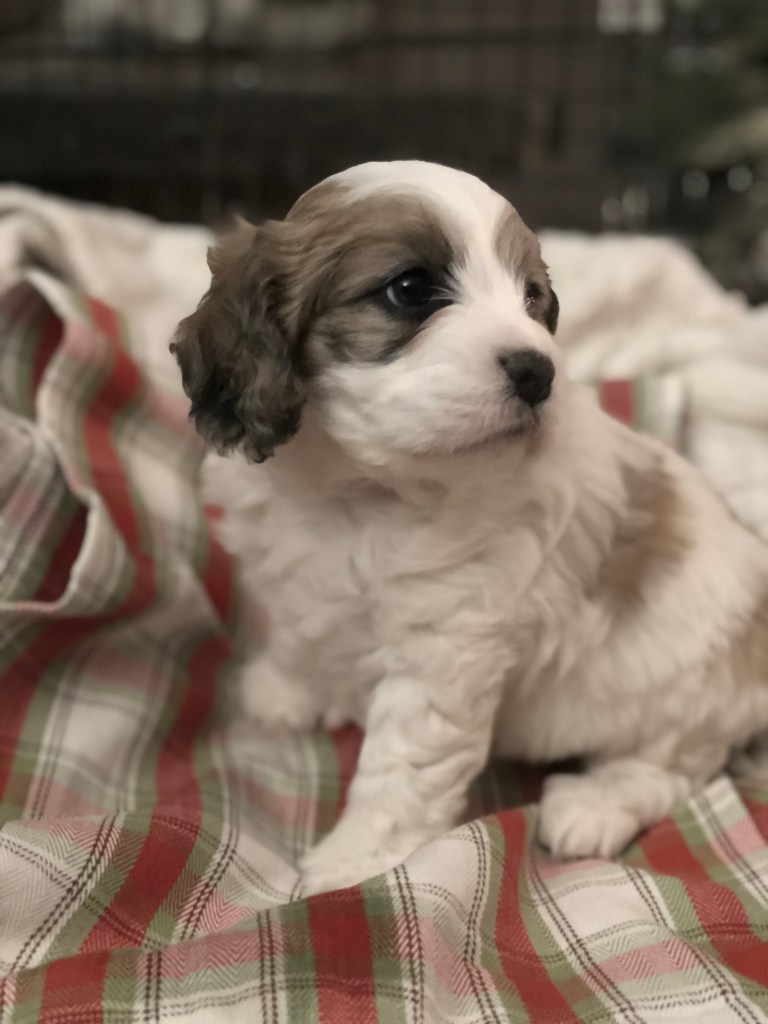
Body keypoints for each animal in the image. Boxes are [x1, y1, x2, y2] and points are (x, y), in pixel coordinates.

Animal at [171, 160, 768, 895]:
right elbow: (299, 629)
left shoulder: (444, 648)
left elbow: (400, 771)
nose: (539, 371)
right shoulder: (292, 568)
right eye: (410, 289)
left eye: (533, 299)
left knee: (673, 765)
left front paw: (352, 865)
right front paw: (285, 688)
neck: (360, 489)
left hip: (689, 700)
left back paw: (595, 802)